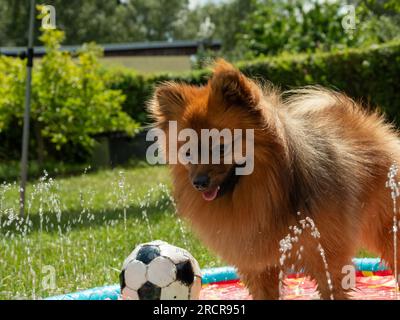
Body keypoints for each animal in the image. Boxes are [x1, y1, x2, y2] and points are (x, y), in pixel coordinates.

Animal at [149, 60, 400, 300]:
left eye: (221, 147)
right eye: (188, 152)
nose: (198, 182)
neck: (270, 193)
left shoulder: (326, 257)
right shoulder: (258, 265)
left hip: (387, 229)